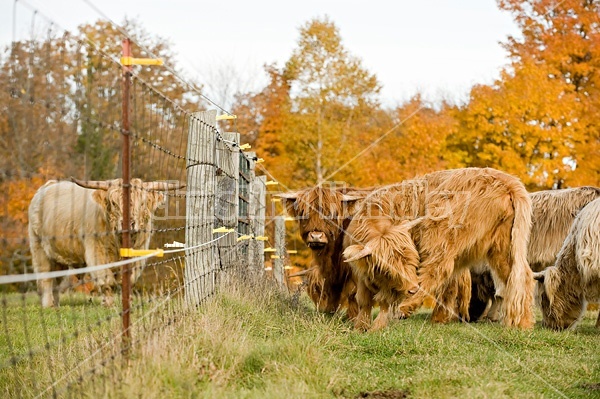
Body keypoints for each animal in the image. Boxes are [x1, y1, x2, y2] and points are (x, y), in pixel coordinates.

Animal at [28, 179, 183, 310]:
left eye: (142, 203)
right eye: (114, 203)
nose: (128, 223)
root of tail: (48, 184)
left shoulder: (138, 253)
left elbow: (129, 279)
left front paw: (128, 302)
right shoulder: (97, 252)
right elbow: (106, 280)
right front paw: (108, 304)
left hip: (59, 256)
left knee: (57, 280)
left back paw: (56, 304)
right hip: (39, 249)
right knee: (46, 277)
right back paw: (48, 305)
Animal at [342, 167, 536, 332]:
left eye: (411, 263)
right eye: (388, 270)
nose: (411, 289)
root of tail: (508, 182)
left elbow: (380, 299)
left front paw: (374, 325)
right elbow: (364, 299)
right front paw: (361, 326)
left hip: (441, 233)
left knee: (436, 269)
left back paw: (407, 307)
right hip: (503, 246)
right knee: (520, 276)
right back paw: (522, 323)